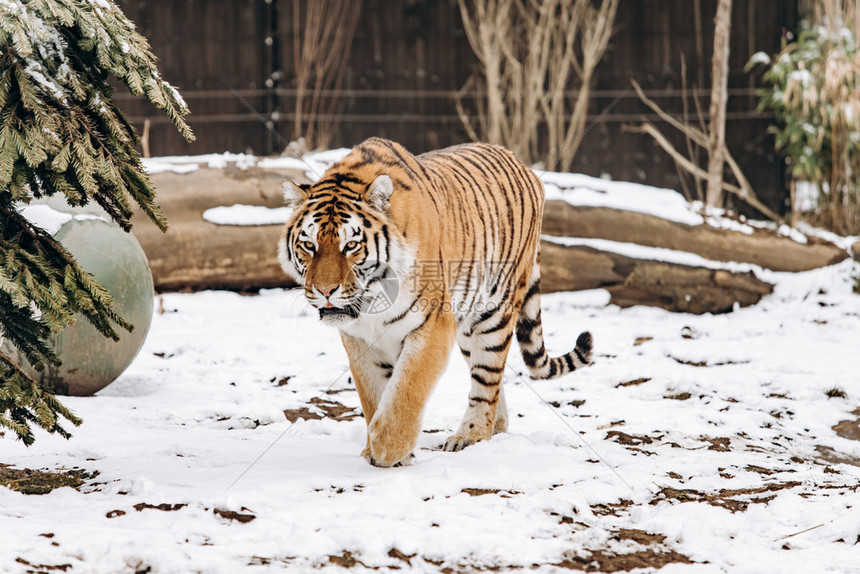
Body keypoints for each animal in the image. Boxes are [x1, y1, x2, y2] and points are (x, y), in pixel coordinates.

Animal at [278, 138, 596, 468]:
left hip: (492, 314)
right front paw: (376, 450)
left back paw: (470, 435)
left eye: (351, 245)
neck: (372, 301)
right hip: (467, 326)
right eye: (308, 245)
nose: (325, 290)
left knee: (487, 380)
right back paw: (495, 426)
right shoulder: (359, 339)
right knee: (493, 383)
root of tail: (521, 163)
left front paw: (388, 448)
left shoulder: (433, 325)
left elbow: (406, 389)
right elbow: (374, 395)